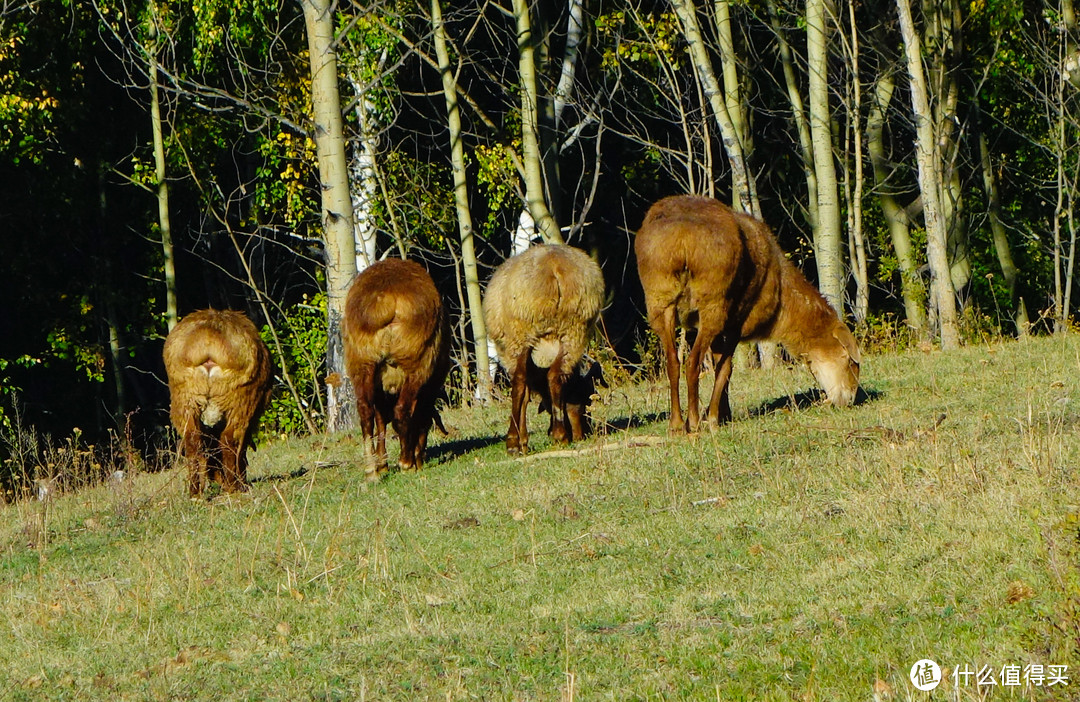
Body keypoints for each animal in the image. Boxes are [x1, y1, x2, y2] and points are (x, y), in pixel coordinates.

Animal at [165, 308, 274, 494]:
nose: (217, 480)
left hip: (185, 397)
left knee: (192, 440)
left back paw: (195, 491)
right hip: (240, 397)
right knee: (228, 440)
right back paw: (234, 486)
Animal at [343, 257, 449, 475]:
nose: (421, 459)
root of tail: (387, 299)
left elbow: (381, 419)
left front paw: (382, 464)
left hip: (362, 362)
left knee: (365, 411)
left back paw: (371, 469)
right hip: (416, 364)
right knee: (402, 410)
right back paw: (405, 462)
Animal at [488, 245, 609, 453]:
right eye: (586, 400)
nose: (583, 434)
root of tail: (554, 267)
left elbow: (524, 391)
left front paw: (521, 442)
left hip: (522, 332)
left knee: (520, 382)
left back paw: (513, 441)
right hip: (574, 329)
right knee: (555, 376)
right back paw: (560, 436)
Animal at [630, 192, 859, 432]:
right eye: (850, 362)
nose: (850, 400)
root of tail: (682, 237)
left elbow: (720, 367)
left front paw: (722, 413)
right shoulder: (736, 323)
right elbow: (725, 370)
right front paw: (713, 418)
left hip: (660, 297)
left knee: (673, 363)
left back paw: (676, 424)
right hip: (712, 303)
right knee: (693, 363)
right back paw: (693, 422)